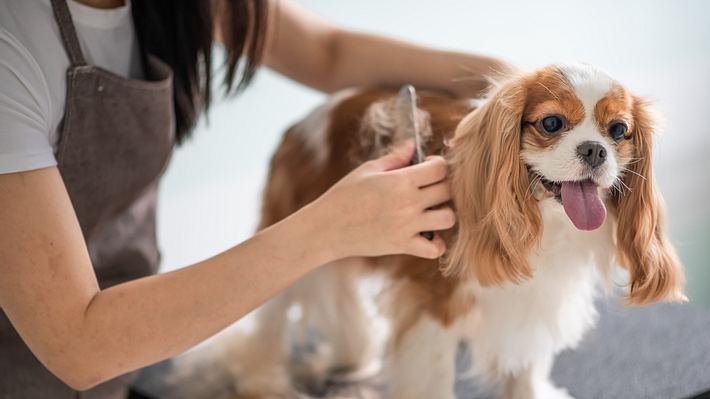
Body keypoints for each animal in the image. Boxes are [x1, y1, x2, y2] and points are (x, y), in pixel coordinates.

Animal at [225, 64, 688, 398]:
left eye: (618, 131)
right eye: (552, 124)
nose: (595, 150)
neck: (546, 224)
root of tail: (300, 124)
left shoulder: (534, 301)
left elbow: (526, 368)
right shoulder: (434, 309)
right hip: (293, 242)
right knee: (270, 317)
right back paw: (262, 379)